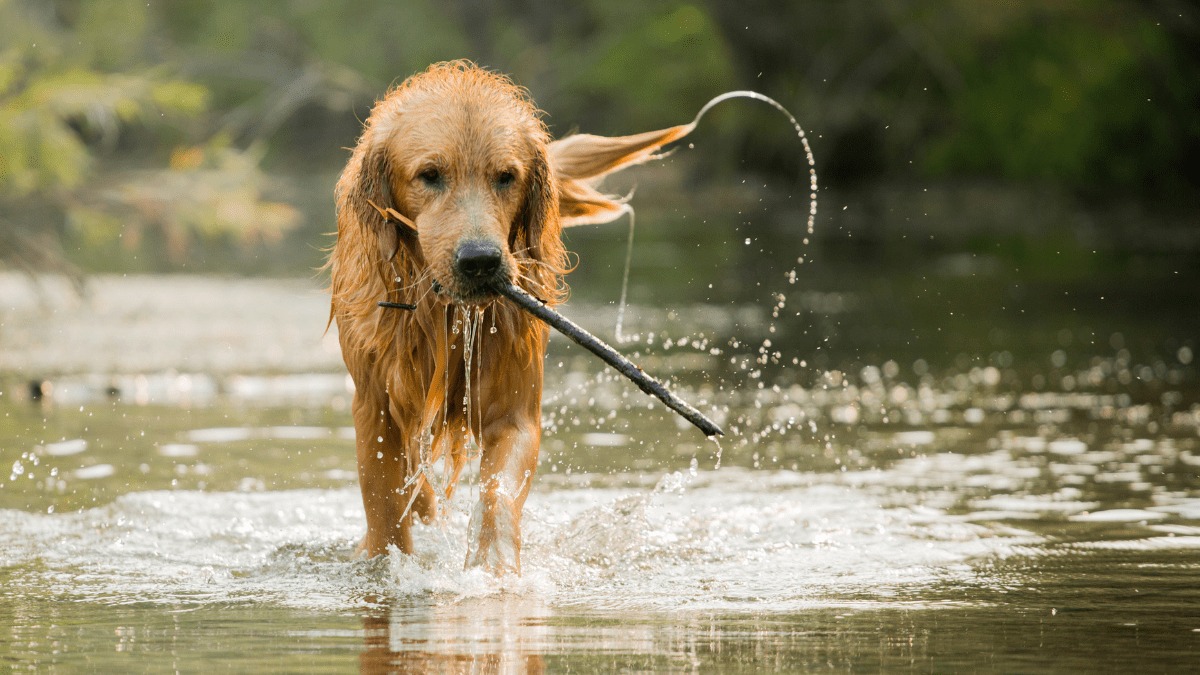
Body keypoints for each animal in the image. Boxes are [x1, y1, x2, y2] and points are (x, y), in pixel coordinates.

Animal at [326, 60, 696, 569]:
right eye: (429, 175)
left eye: (506, 176)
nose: (480, 261)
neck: (444, 316)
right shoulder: (375, 409)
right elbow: (384, 517)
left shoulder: (514, 409)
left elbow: (496, 494)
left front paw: (494, 571)